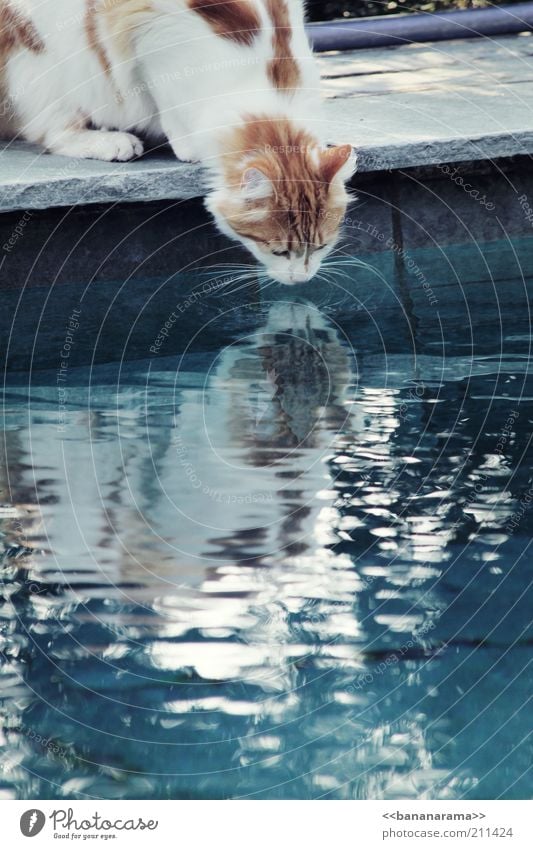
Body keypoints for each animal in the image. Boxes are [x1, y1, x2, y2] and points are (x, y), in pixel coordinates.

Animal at [1, 0, 358, 284]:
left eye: (322, 246)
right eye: (279, 251)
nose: (302, 279)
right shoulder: (146, 31)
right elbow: (158, 89)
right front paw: (185, 142)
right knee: (53, 128)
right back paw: (109, 140)